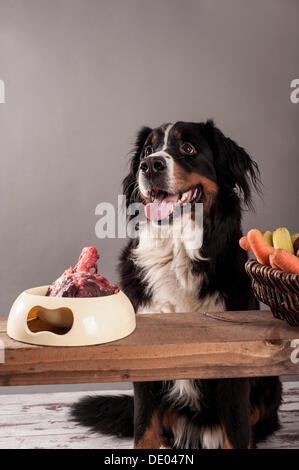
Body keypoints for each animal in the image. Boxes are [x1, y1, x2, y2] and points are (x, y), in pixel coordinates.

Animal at [72, 120, 284, 448]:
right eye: (147, 150)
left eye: (188, 148)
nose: (150, 165)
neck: (176, 249)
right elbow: (144, 430)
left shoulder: (235, 366)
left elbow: (236, 433)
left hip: (270, 385)